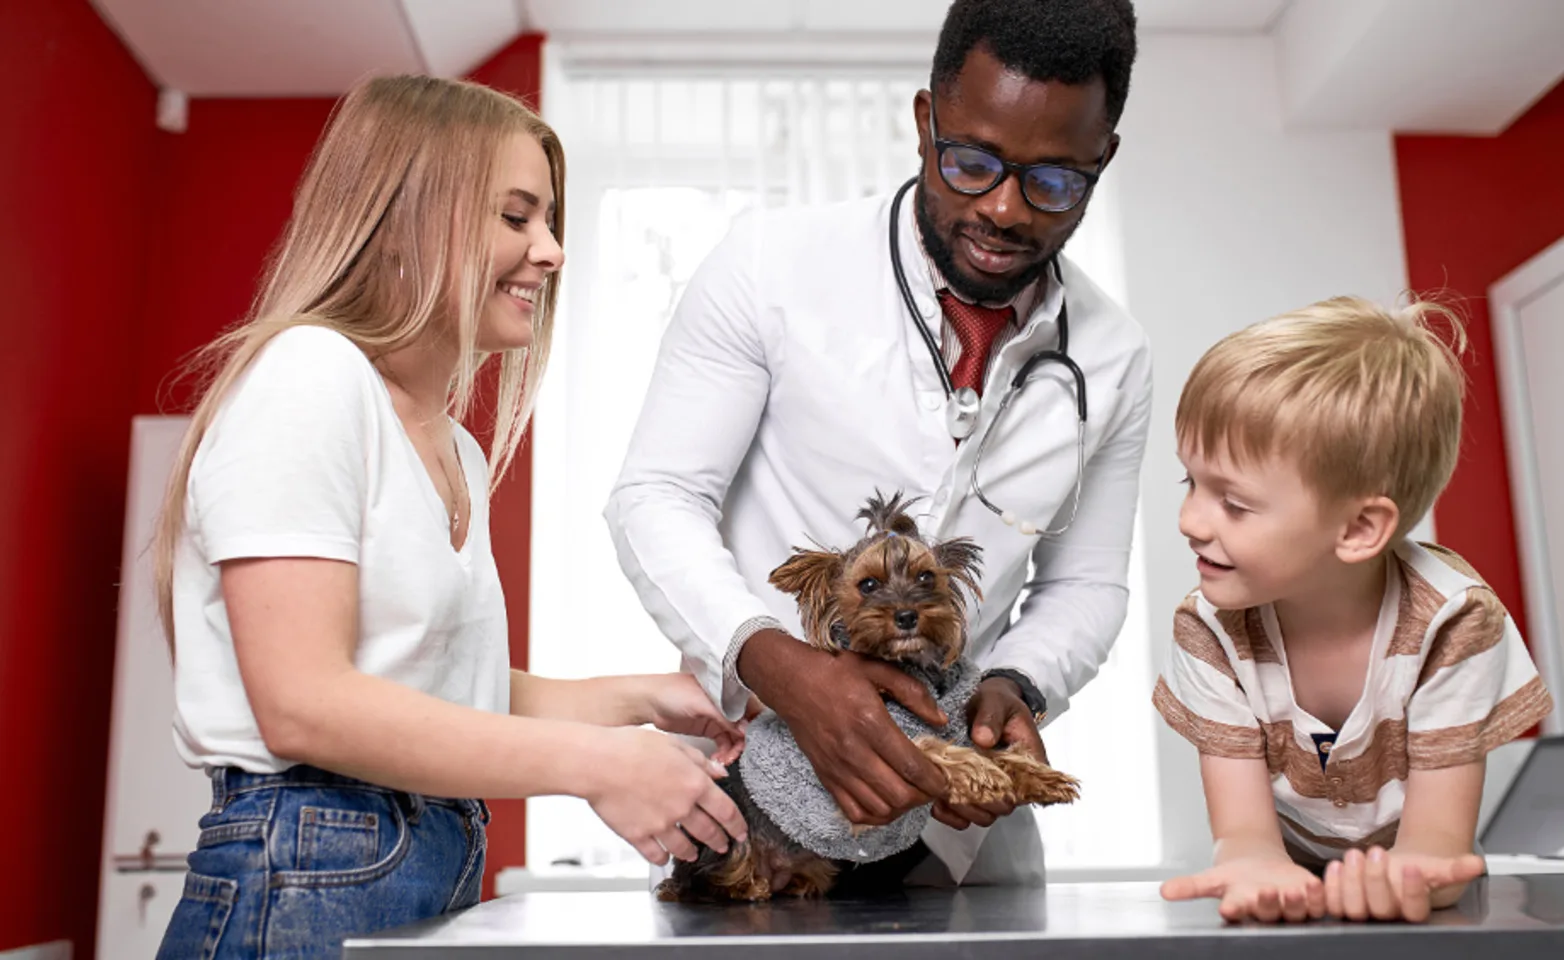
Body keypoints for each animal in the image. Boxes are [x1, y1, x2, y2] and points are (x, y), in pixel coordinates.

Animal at [653, 494, 1082, 906]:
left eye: (926, 576)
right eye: (868, 586)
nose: (907, 616)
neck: (912, 668)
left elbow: (987, 748)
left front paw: (1037, 776)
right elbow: (927, 747)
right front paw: (974, 772)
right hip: (728, 835)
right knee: (702, 881)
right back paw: (742, 887)